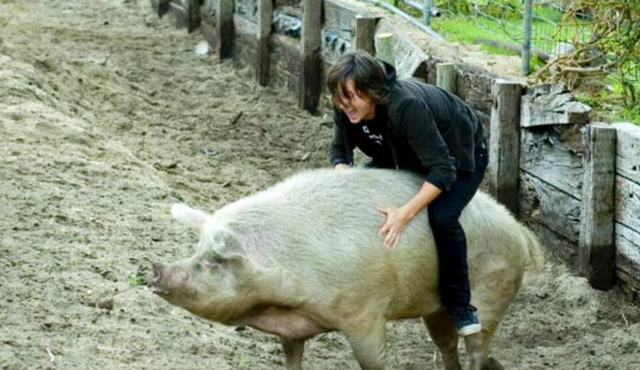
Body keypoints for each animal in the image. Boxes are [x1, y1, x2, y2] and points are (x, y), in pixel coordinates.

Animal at [148, 168, 544, 370]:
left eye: (212, 262)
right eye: (196, 250)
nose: (154, 268)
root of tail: (521, 233)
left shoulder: (364, 313)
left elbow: (373, 361)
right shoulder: (291, 329)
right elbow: (292, 358)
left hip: (490, 294)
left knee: (477, 346)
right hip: (435, 306)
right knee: (447, 345)